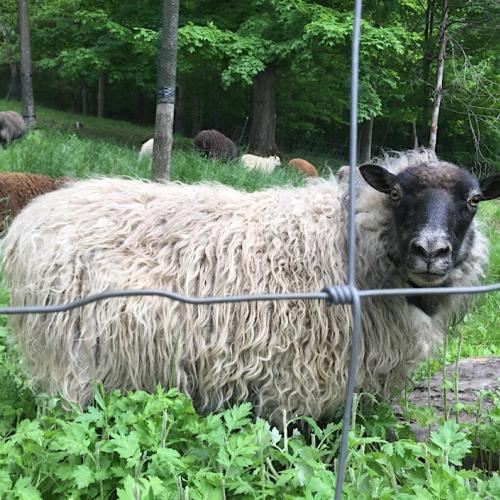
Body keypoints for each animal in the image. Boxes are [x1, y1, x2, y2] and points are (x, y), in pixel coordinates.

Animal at [3, 149, 500, 426]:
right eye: (396, 194)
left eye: (474, 200)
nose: (431, 251)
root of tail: (30, 221)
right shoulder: (299, 379)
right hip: (69, 360)